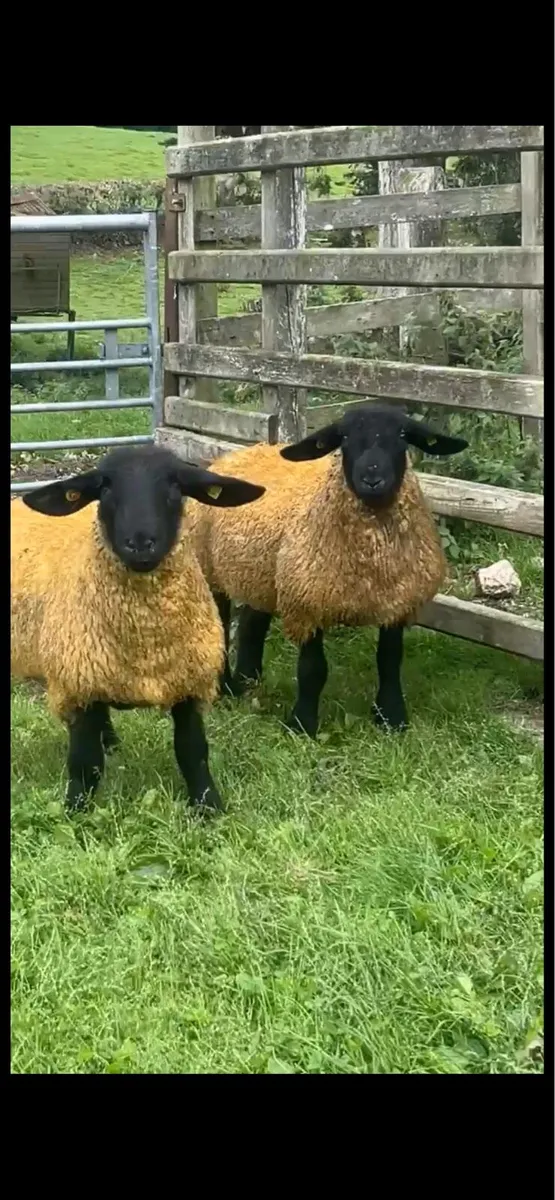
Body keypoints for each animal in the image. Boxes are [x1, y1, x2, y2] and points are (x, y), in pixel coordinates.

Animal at [11, 443, 264, 812]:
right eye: (104, 488)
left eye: (175, 485)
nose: (141, 543)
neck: (147, 645)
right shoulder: (77, 683)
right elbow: (84, 761)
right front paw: (77, 810)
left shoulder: (187, 682)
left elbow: (193, 752)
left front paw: (208, 806)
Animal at [185, 404, 468, 737]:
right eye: (344, 437)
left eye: (402, 435)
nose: (373, 478)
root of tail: (245, 450)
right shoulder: (307, 602)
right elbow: (313, 670)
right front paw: (302, 724)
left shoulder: (397, 603)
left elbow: (389, 661)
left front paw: (391, 717)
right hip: (210, 565)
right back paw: (224, 687)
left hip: (263, 570)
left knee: (252, 624)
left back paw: (247, 680)